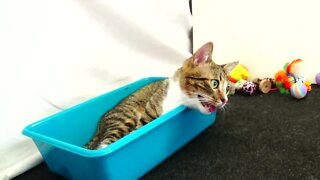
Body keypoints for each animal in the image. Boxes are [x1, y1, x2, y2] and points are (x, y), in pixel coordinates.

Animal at [85, 41, 238, 149]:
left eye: (227, 88)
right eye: (214, 83)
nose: (225, 100)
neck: (179, 99)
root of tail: (98, 127)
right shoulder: (146, 118)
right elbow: (137, 130)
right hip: (124, 118)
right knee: (103, 145)